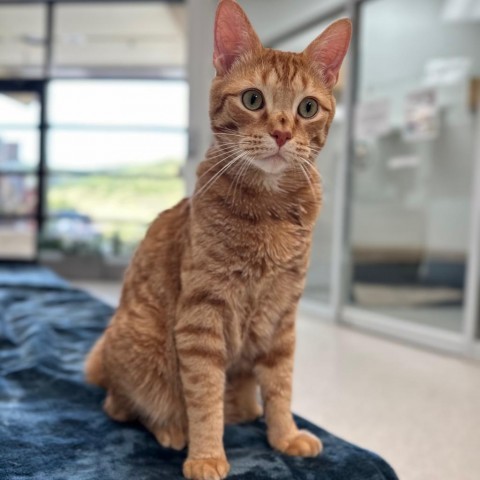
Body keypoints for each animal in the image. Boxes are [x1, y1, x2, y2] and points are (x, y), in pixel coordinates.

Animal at [85, 1, 348, 478]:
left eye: (307, 108)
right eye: (253, 99)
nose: (282, 133)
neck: (270, 213)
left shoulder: (282, 315)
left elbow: (280, 386)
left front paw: (283, 435)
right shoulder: (202, 317)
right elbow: (204, 397)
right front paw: (207, 454)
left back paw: (242, 410)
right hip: (138, 347)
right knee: (121, 405)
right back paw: (172, 428)